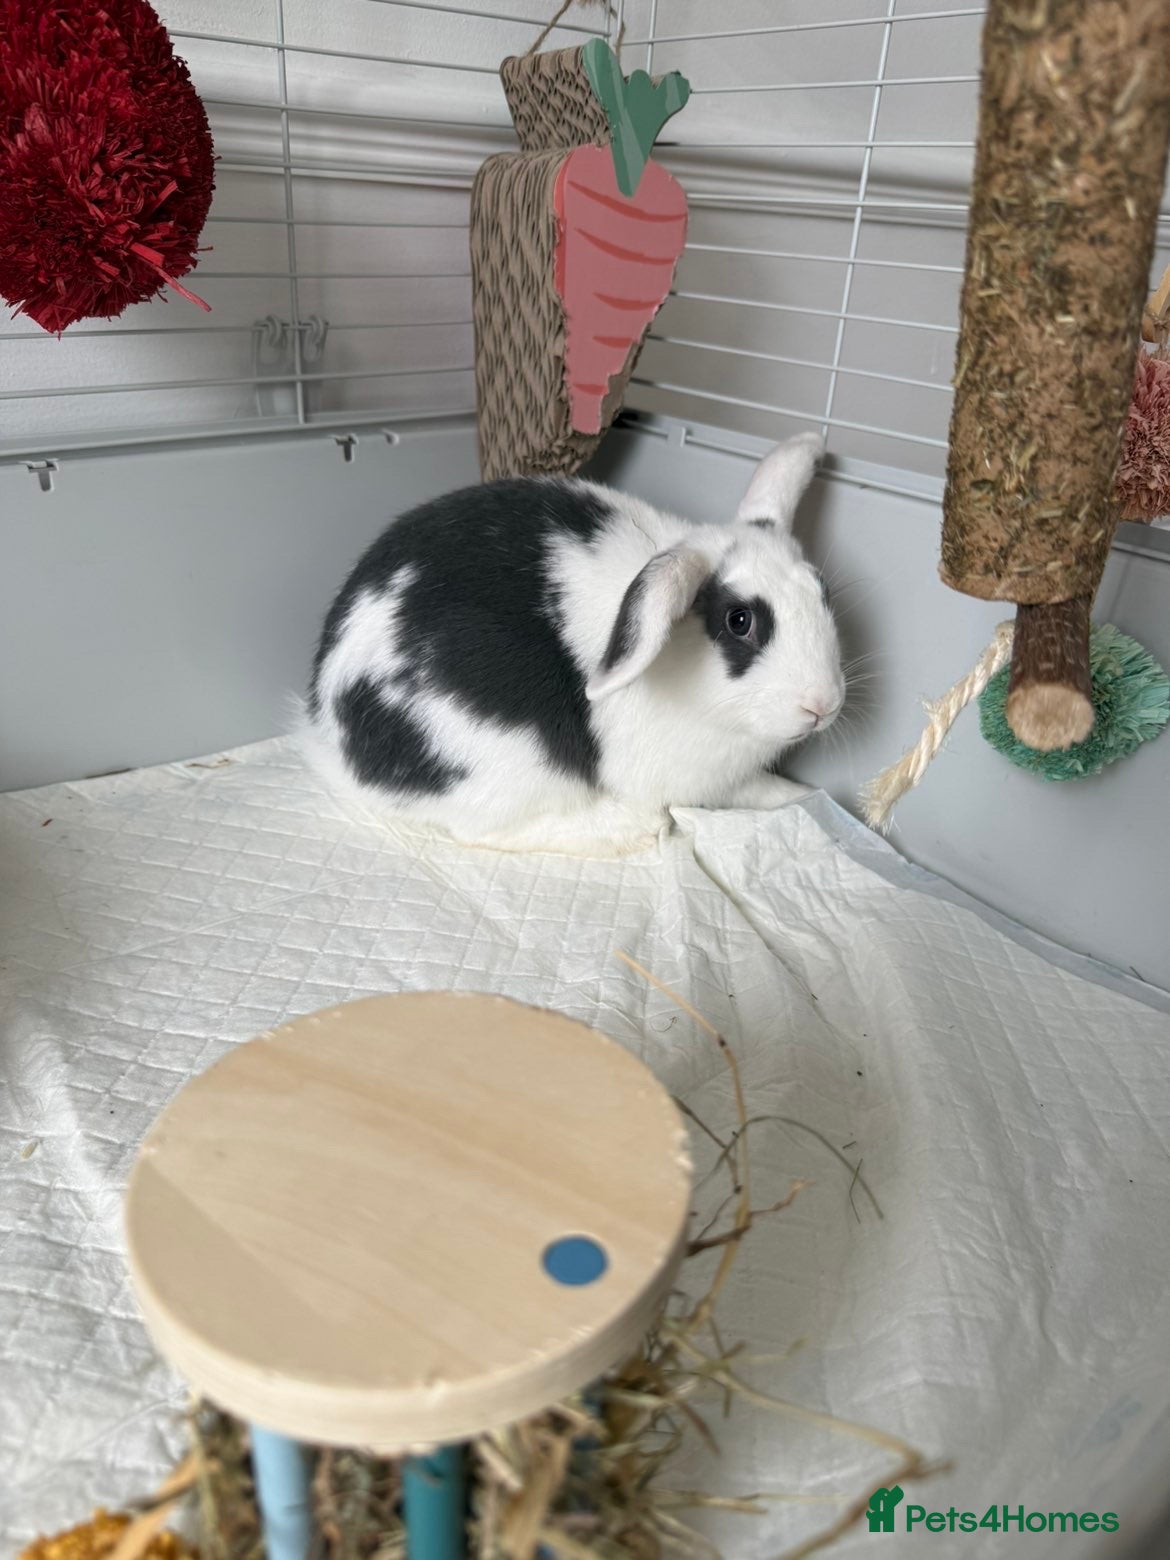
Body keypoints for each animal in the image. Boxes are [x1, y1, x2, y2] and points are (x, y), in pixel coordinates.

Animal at [302, 431, 844, 856]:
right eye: (739, 620)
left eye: (822, 591)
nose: (823, 705)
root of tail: (328, 736)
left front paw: (801, 797)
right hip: (510, 761)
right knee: (483, 831)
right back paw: (633, 828)